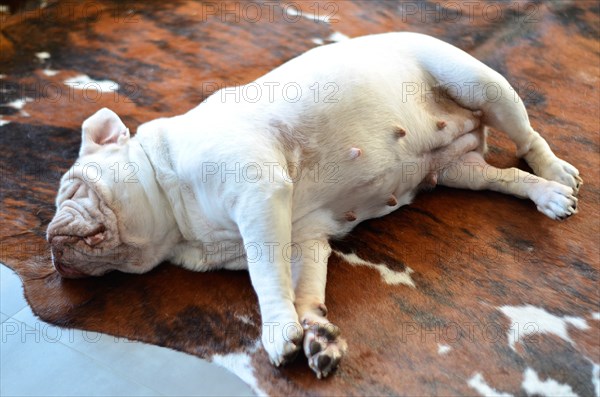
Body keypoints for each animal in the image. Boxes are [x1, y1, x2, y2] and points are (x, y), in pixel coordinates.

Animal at [47, 32, 580, 376]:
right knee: (502, 176)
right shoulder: (302, 237)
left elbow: (265, 275)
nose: (50, 241)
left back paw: (555, 173)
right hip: (459, 171)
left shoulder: (259, 195)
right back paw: (545, 194)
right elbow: (303, 286)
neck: (178, 224)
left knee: (528, 137)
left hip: (477, 82)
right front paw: (314, 332)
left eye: (72, 191)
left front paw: (276, 329)